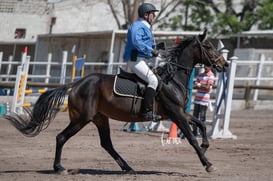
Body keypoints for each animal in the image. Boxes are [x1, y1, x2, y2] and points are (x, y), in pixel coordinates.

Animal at [5, 29, 228, 175]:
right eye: (208, 46)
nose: (224, 65)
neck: (172, 79)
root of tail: (77, 84)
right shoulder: (176, 114)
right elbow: (191, 137)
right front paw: (208, 163)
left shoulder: (180, 112)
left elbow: (200, 124)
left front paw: (206, 145)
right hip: (81, 119)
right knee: (61, 137)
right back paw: (59, 168)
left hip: (100, 118)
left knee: (107, 144)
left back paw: (127, 168)